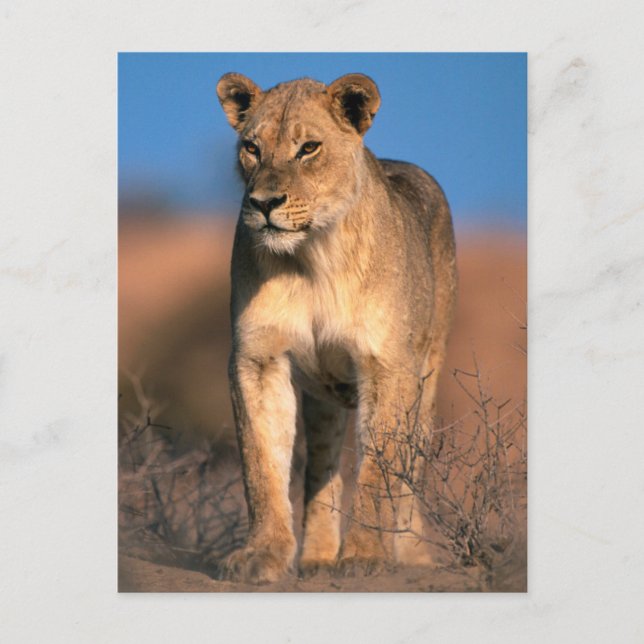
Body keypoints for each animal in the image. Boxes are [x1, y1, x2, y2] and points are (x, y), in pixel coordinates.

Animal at [215, 72, 457, 583]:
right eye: (251, 147)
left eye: (308, 148)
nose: (264, 203)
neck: (313, 258)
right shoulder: (258, 359)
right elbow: (261, 464)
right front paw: (263, 554)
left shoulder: (388, 366)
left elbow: (380, 469)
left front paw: (366, 555)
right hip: (323, 400)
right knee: (321, 467)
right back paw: (318, 557)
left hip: (427, 375)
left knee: (411, 467)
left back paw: (409, 554)